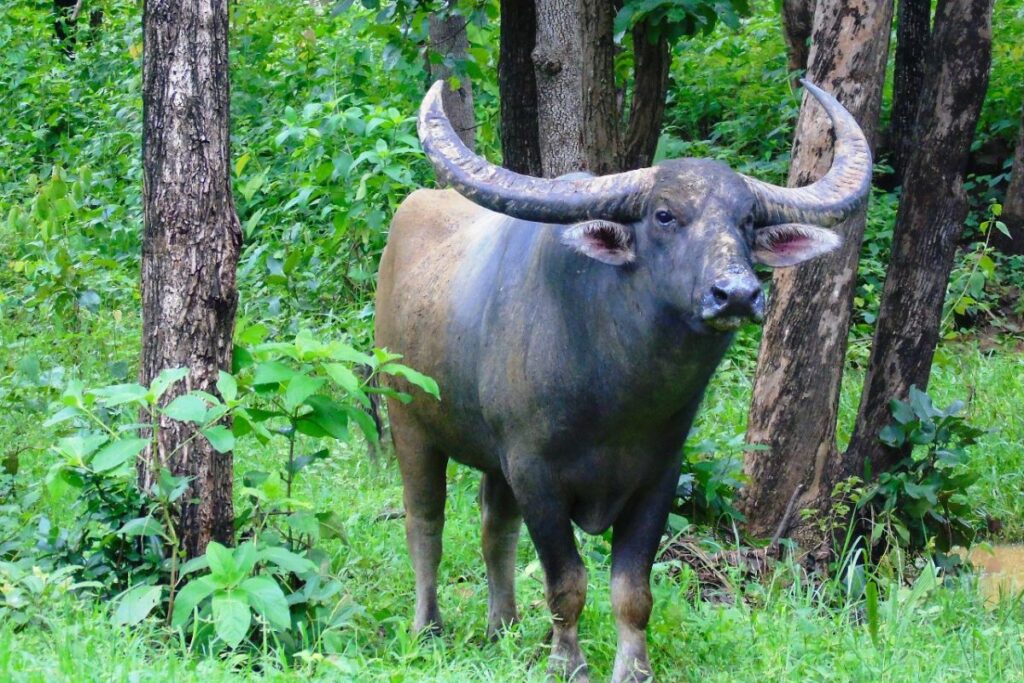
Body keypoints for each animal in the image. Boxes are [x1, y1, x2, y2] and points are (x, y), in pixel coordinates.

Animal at [375, 80, 870, 682]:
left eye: (749, 221)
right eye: (664, 215)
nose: (737, 294)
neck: (616, 400)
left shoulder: (656, 478)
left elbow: (632, 591)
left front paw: (633, 667)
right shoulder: (536, 473)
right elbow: (566, 582)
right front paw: (567, 662)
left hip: (494, 458)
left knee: (496, 529)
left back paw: (504, 627)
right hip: (409, 424)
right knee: (426, 523)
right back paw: (429, 627)